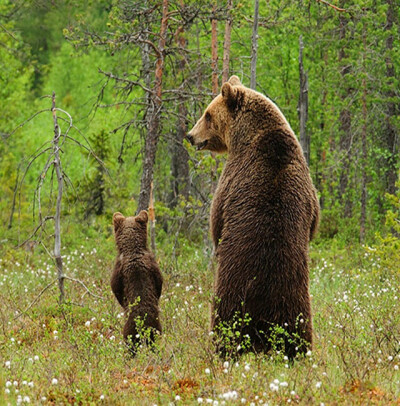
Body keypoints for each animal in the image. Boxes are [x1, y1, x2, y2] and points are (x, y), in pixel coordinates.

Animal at [111, 211, 162, 354]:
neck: (132, 249)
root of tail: (143, 325)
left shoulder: (118, 270)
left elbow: (116, 288)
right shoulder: (153, 265)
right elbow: (159, 282)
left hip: (130, 331)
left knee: (130, 345)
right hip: (155, 330)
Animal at [186, 75, 320, 358]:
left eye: (207, 114)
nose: (190, 136)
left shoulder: (232, 177)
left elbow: (216, 219)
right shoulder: (307, 188)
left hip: (232, 292)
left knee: (225, 321)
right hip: (296, 299)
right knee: (299, 329)